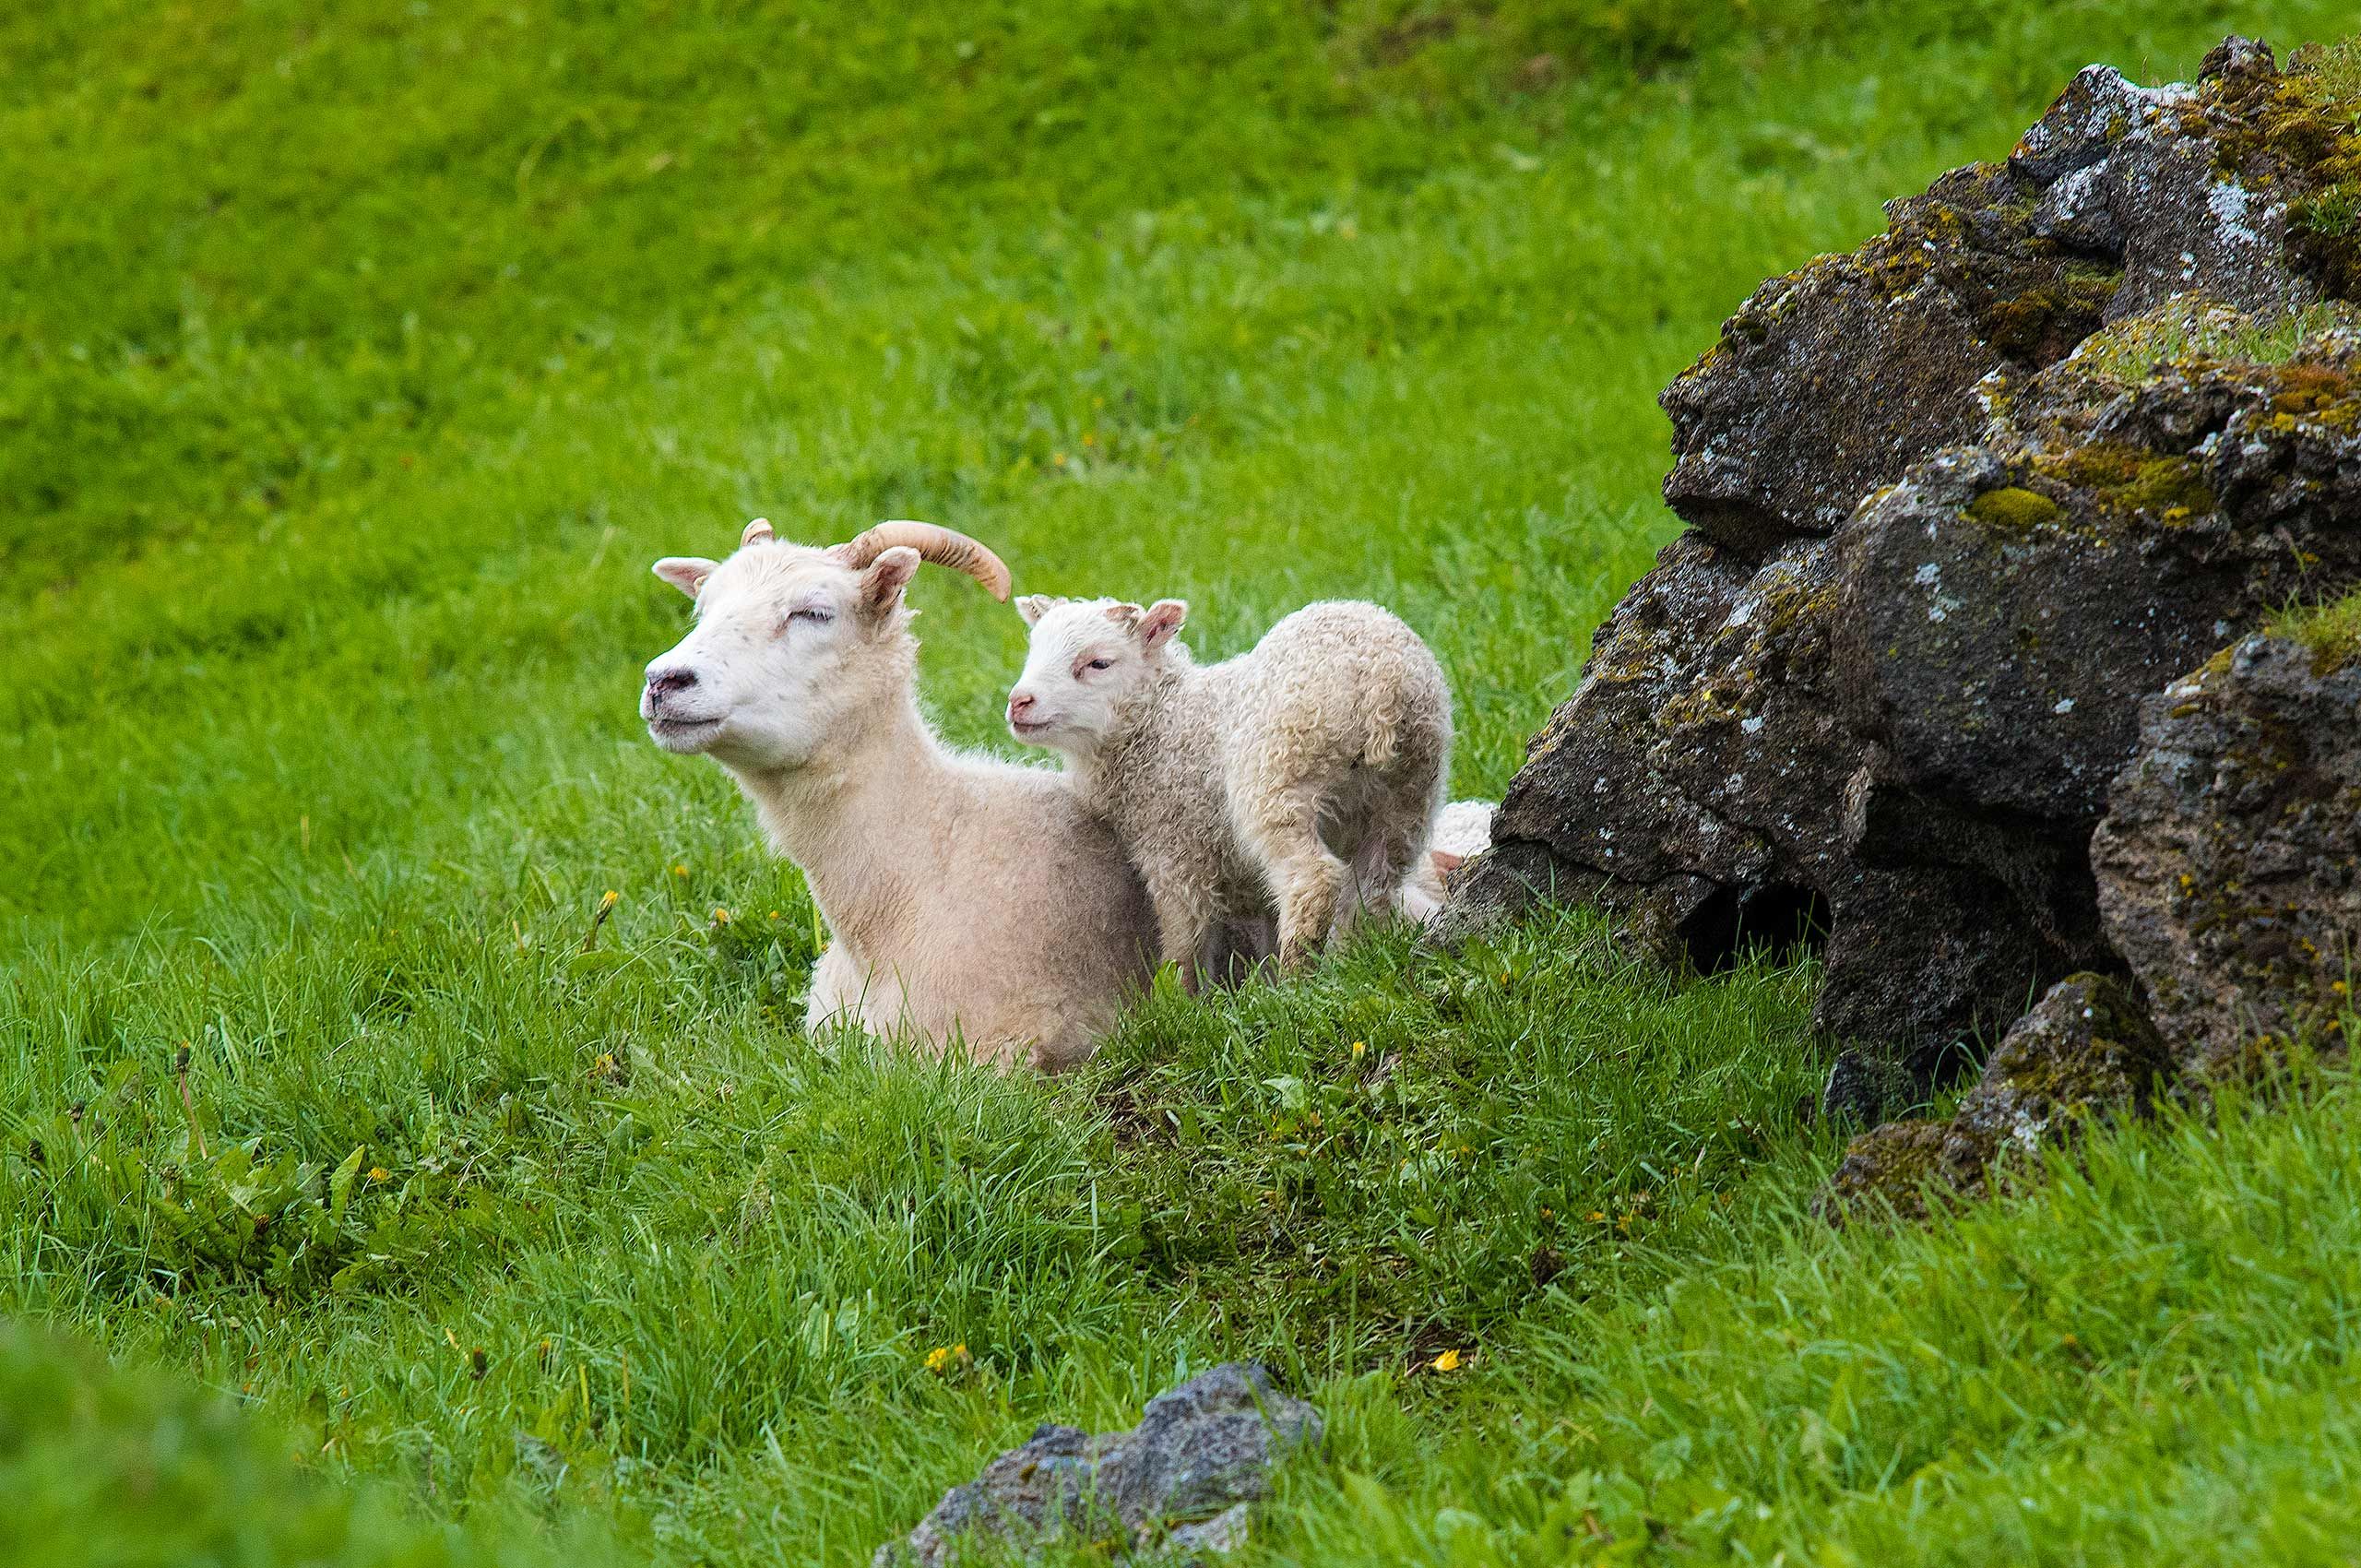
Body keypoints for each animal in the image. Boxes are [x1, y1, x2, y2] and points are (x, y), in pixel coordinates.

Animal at [1004, 595, 1451, 982]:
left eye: (1099, 663)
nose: (1019, 702)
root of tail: (1382, 678)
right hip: (1409, 795)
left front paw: (1178, 1001)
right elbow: (1264, 930)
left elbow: (1184, 941)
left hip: (1276, 779)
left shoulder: (1176, 853)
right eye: (1033, 650)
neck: (1164, 720)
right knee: (1371, 890)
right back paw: (1343, 965)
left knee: (1314, 880)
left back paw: (1296, 980)